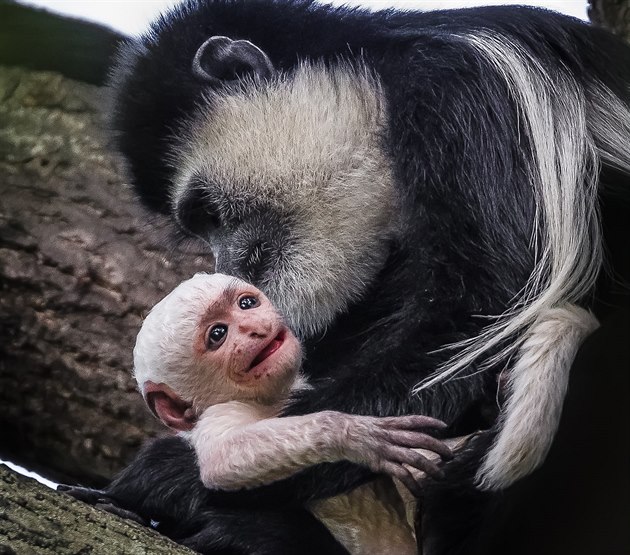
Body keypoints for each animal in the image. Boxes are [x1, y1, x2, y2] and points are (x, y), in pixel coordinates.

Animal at [63, 1, 630, 555]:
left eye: (206, 212)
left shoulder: (464, 97)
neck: (379, 86)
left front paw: (175, 476)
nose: (230, 267)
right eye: (198, 226)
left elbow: (476, 313)